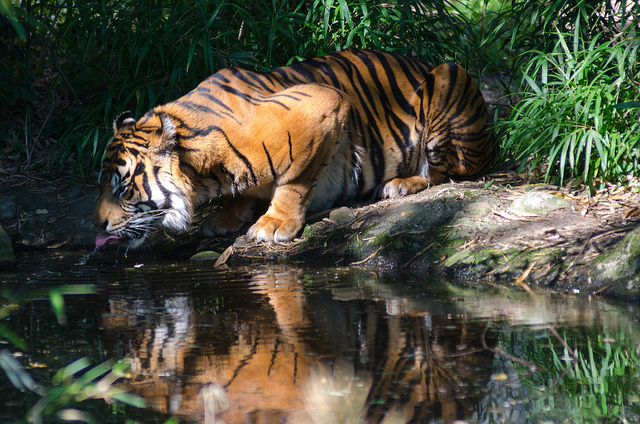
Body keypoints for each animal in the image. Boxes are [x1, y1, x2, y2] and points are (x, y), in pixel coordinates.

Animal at [92, 48, 494, 247]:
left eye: (123, 188)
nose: (97, 224)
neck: (203, 172)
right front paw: (227, 216)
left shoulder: (324, 106)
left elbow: (294, 181)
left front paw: (274, 224)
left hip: (448, 76)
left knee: (446, 172)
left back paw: (401, 184)